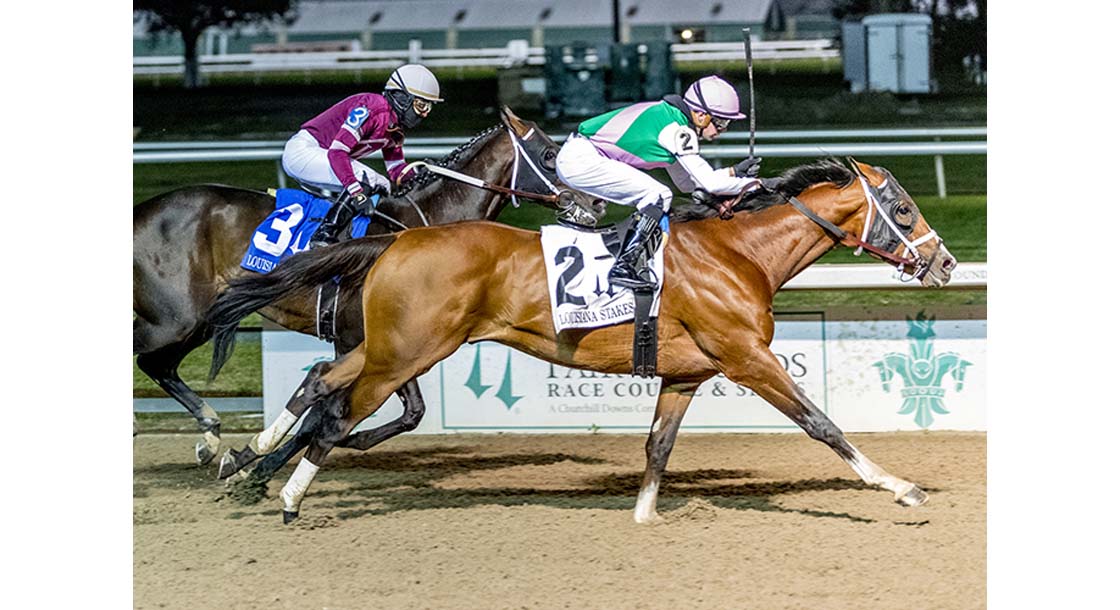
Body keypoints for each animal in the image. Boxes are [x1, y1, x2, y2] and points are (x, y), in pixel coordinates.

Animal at [131, 106, 604, 463]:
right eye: (550, 156)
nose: (596, 203)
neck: (419, 224)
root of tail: (140, 211)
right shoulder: (361, 335)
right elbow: (331, 407)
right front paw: (257, 462)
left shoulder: (385, 341)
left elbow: (406, 412)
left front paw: (267, 460)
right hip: (173, 318)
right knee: (147, 356)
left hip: (201, 318)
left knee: (157, 365)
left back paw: (210, 435)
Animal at [203, 154, 954, 521]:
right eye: (904, 209)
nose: (944, 263)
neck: (740, 254)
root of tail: (397, 238)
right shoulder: (748, 358)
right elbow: (822, 424)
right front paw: (901, 488)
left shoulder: (685, 374)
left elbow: (658, 446)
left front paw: (646, 516)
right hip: (407, 353)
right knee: (341, 413)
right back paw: (289, 495)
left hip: (390, 344)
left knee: (320, 382)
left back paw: (248, 456)